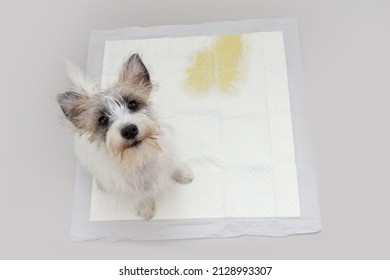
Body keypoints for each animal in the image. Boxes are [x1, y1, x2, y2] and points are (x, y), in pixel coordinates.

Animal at [56, 53, 193, 220]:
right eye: (103, 120)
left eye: (132, 104)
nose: (129, 130)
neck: (139, 157)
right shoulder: (130, 189)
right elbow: (141, 196)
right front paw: (145, 208)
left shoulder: (169, 153)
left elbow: (174, 164)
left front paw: (183, 174)